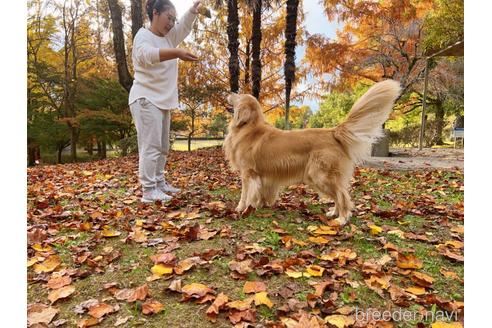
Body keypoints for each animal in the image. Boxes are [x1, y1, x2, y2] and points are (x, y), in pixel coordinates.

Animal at [225, 80, 402, 226]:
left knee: (342, 196)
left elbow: (245, 194)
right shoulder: (263, 176)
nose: (230, 91)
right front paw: (260, 204)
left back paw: (342, 218)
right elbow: (261, 192)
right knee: (338, 195)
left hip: (320, 175)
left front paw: (241, 208)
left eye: (239, 96)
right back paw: (334, 213)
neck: (249, 128)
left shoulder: (248, 173)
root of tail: (333, 132)